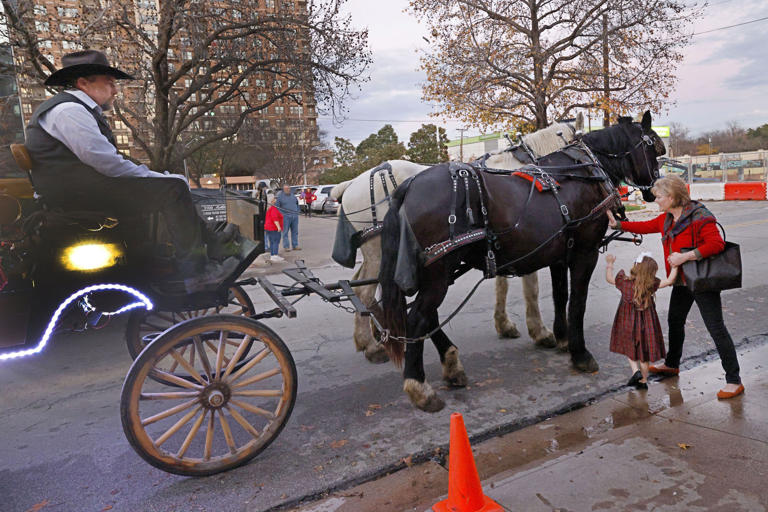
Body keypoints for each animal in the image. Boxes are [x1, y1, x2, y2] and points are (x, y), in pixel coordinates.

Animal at [330, 116, 584, 364]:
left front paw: (504, 324)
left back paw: (372, 337)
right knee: (364, 293)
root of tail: (351, 184)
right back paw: (372, 346)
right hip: (381, 252)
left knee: (361, 284)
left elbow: (502, 283)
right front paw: (540, 331)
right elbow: (531, 287)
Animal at [376, 112, 664, 412]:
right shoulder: (585, 251)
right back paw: (419, 386)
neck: (584, 170)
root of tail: (408, 187)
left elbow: (560, 295)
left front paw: (560, 337)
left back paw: (451, 366)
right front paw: (580, 353)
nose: (655, 188)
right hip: (438, 272)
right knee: (417, 318)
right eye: (654, 147)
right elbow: (577, 302)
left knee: (425, 316)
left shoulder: (560, 252)